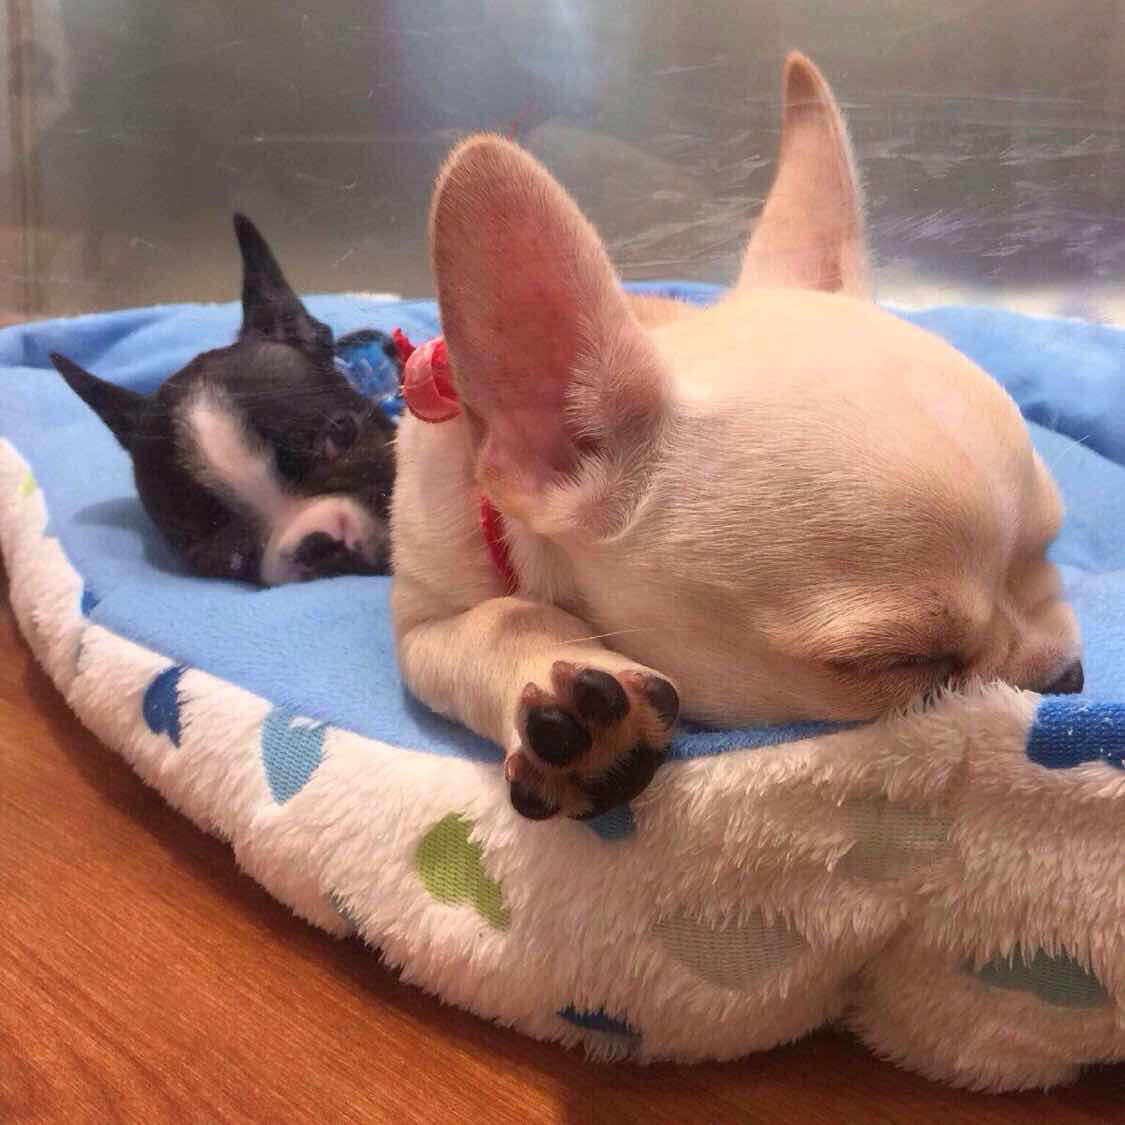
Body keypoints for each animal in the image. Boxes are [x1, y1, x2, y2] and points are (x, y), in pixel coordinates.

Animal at [391, 52, 1084, 822]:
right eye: (904, 662)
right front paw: (558, 691)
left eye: (1050, 551)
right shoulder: (418, 619)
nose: (1065, 678)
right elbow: (495, 617)